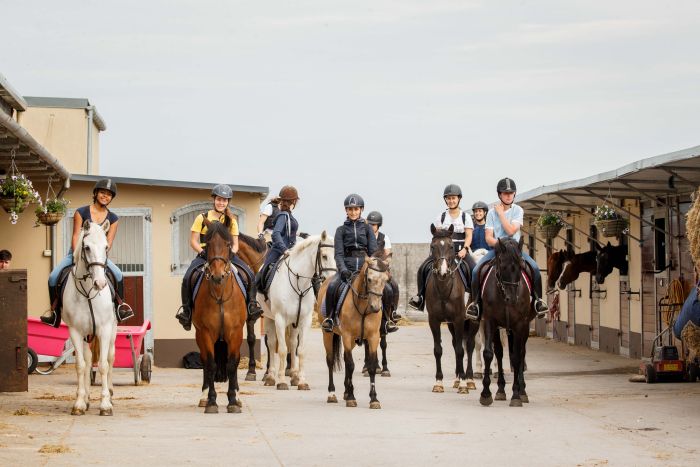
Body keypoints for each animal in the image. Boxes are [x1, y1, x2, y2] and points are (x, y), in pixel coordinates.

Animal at [63, 220, 119, 416]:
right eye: (86, 247)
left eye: (106, 247)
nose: (100, 283)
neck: (88, 292)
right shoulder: (75, 331)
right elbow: (81, 365)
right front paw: (79, 403)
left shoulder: (104, 330)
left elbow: (103, 365)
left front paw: (106, 405)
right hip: (87, 335)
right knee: (87, 361)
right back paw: (86, 398)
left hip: (112, 332)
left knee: (110, 358)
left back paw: (110, 392)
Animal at [190, 221, 247, 414]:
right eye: (207, 244)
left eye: (228, 245)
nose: (217, 275)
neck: (220, 294)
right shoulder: (206, 332)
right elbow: (211, 364)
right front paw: (212, 401)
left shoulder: (235, 332)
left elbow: (232, 364)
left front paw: (232, 401)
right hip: (199, 335)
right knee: (205, 362)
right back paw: (203, 398)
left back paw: (237, 397)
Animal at [260, 233, 336, 392]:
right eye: (324, 256)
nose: (332, 279)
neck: (298, 284)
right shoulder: (280, 319)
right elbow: (282, 349)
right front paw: (282, 382)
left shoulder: (304, 320)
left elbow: (300, 350)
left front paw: (302, 381)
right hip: (269, 318)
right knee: (271, 344)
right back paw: (270, 377)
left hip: (293, 323)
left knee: (293, 343)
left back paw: (294, 376)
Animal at [318, 256, 394, 410]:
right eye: (369, 279)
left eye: (386, 280)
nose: (375, 307)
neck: (363, 307)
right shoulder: (347, 336)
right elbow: (350, 365)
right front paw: (352, 397)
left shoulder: (373, 337)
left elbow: (371, 367)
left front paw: (374, 399)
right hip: (327, 334)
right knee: (331, 360)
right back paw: (332, 394)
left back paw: (346, 391)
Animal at [422, 227, 482, 394]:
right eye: (433, 246)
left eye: (451, 246)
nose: (443, 272)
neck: (444, 288)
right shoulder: (434, 320)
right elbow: (438, 349)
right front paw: (438, 382)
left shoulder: (459, 319)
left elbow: (461, 350)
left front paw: (463, 385)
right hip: (450, 325)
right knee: (456, 344)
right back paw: (457, 379)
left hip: (473, 321)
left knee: (469, 345)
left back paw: (469, 380)